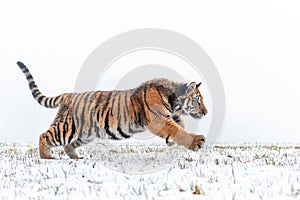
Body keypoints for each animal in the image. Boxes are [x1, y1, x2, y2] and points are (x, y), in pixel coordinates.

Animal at [16, 61, 207, 159]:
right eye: (198, 100)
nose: (205, 112)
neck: (174, 101)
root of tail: (68, 95)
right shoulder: (158, 119)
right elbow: (177, 130)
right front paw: (196, 141)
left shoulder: (169, 115)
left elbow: (179, 126)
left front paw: (172, 141)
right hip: (67, 127)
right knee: (44, 135)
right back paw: (46, 157)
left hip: (86, 133)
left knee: (69, 145)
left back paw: (76, 157)